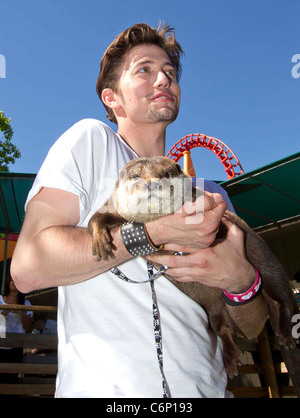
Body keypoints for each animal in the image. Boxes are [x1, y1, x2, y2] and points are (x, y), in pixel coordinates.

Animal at [88, 155, 298, 394]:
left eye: (166, 174)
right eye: (136, 176)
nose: (152, 184)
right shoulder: (115, 208)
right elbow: (97, 217)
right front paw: (99, 239)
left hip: (266, 260)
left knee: (282, 296)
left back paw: (285, 333)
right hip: (214, 305)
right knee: (223, 326)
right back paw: (231, 360)